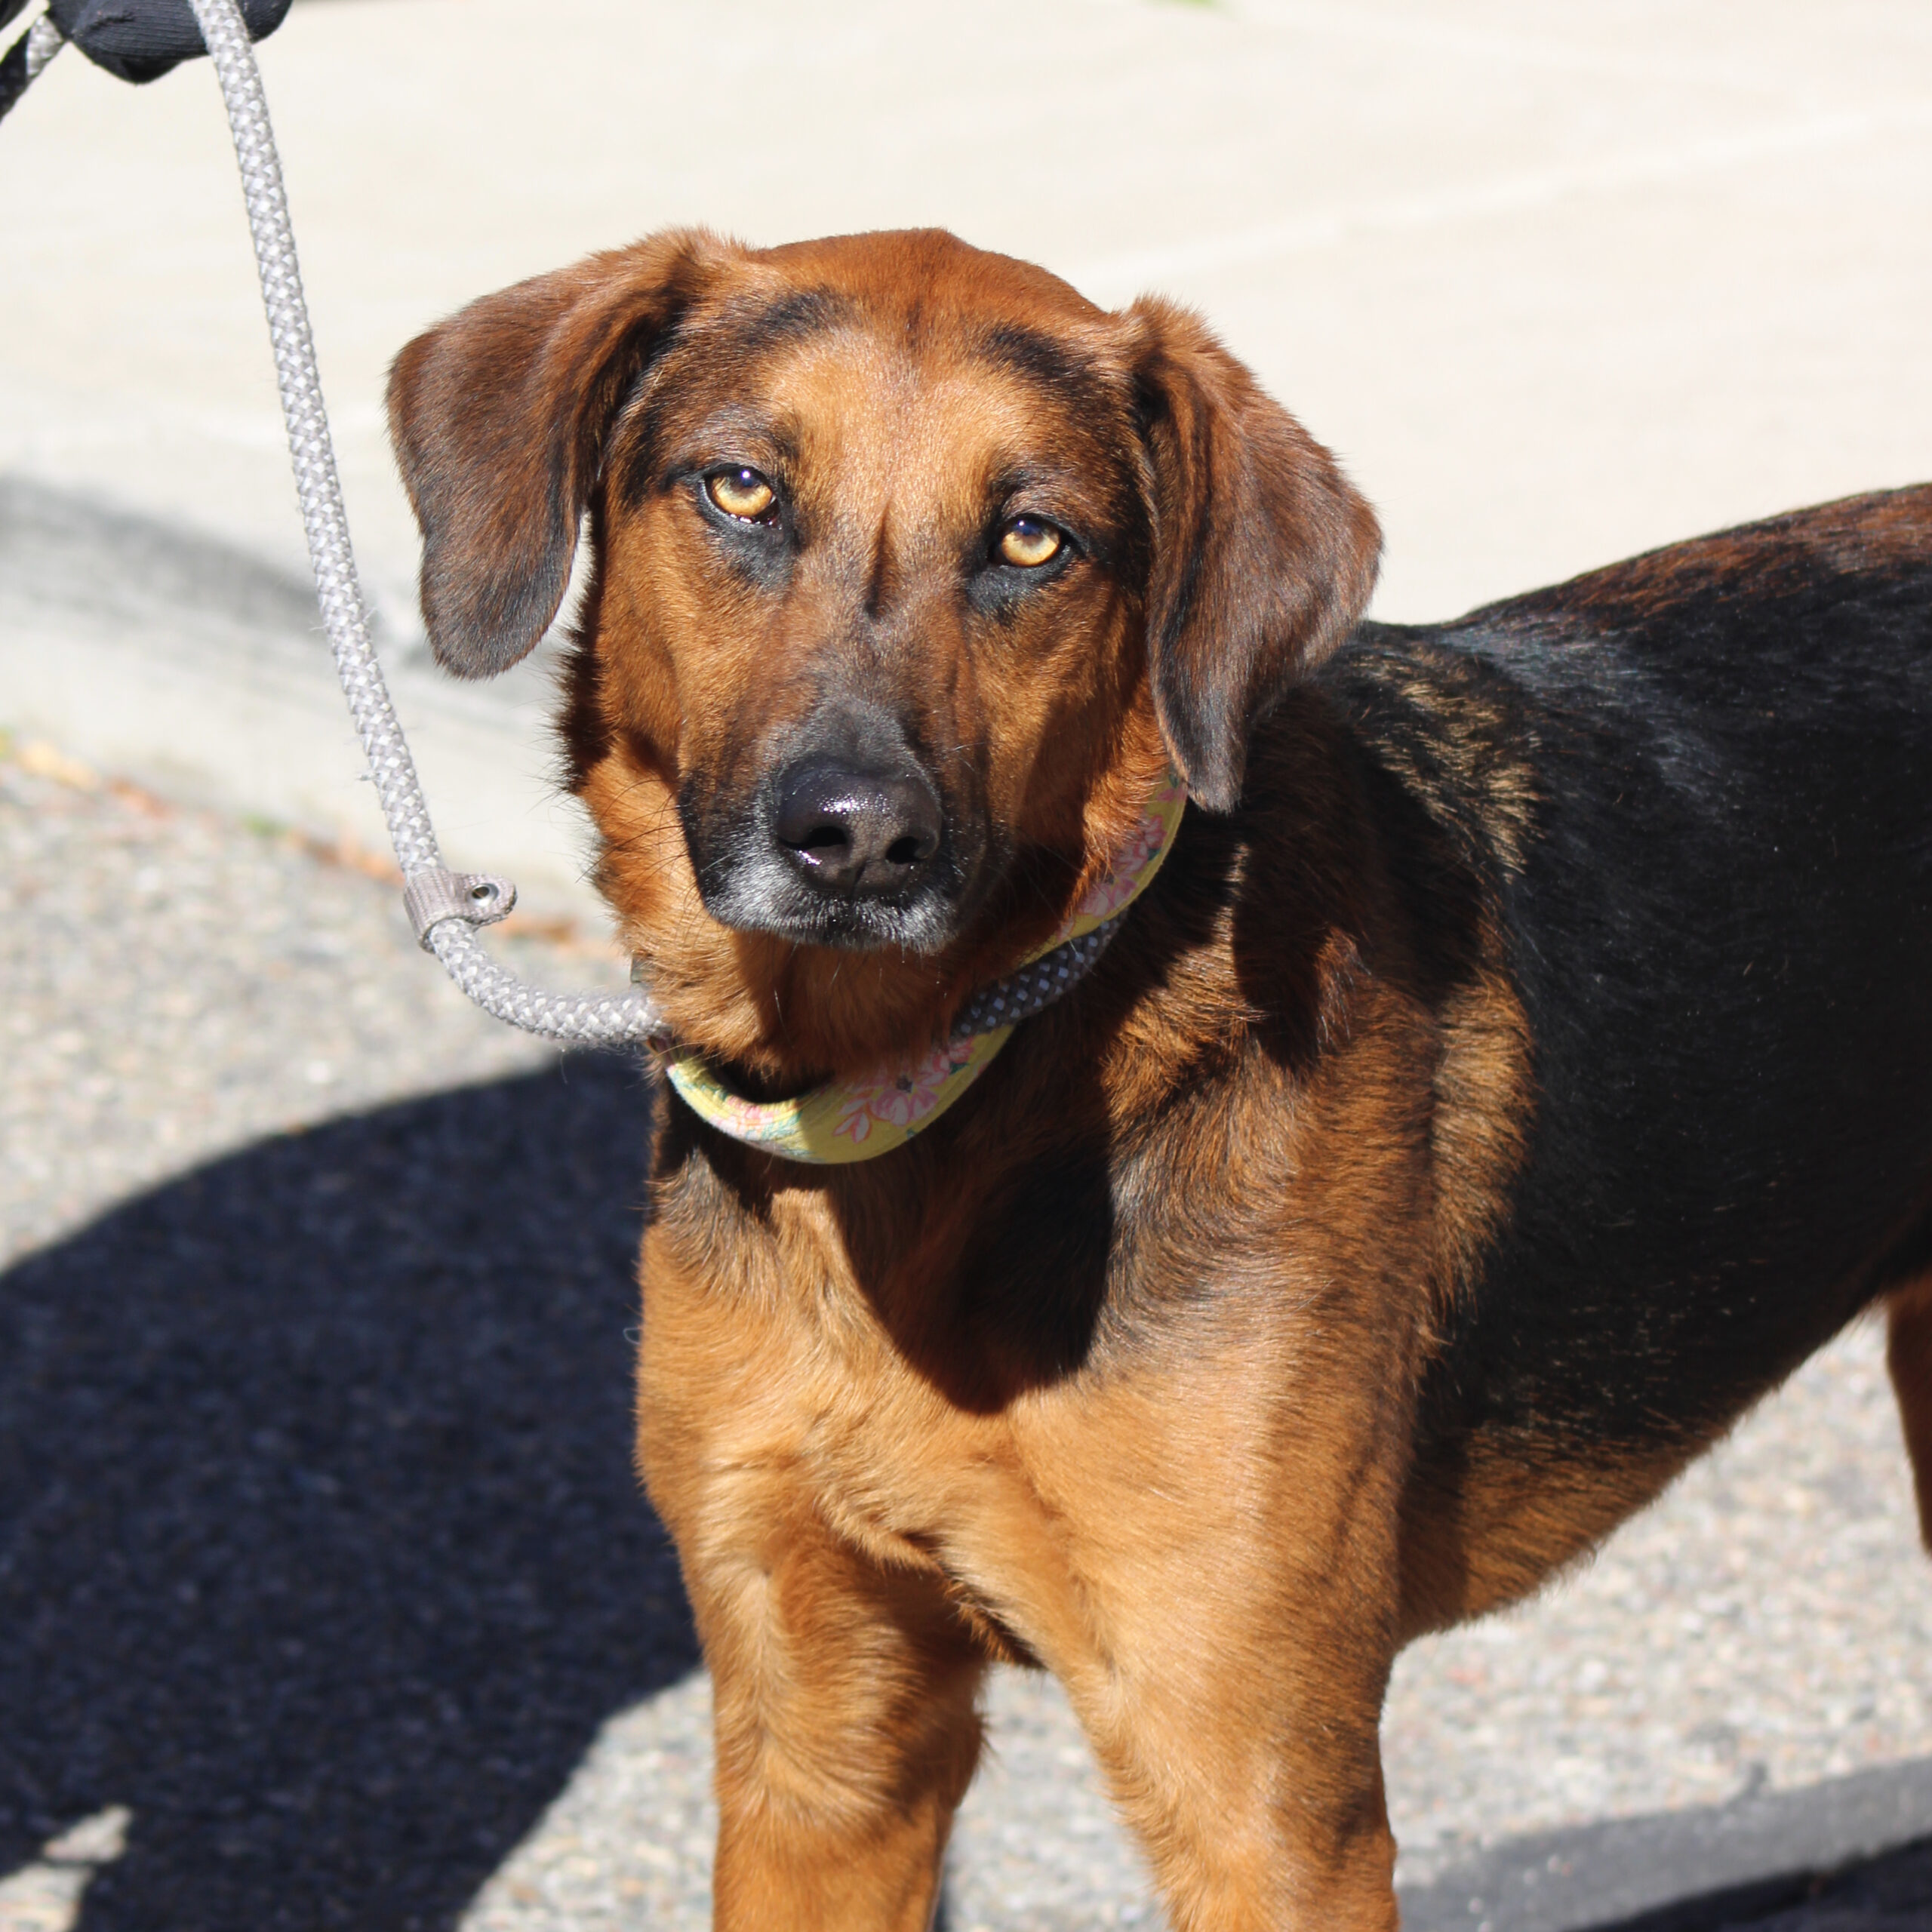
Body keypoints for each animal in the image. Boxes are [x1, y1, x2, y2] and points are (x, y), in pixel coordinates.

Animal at [384, 229, 1932, 1932]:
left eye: (1033, 538)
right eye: (739, 491)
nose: (858, 838)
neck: (930, 1111)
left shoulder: (1261, 1794)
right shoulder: (821, 1736)